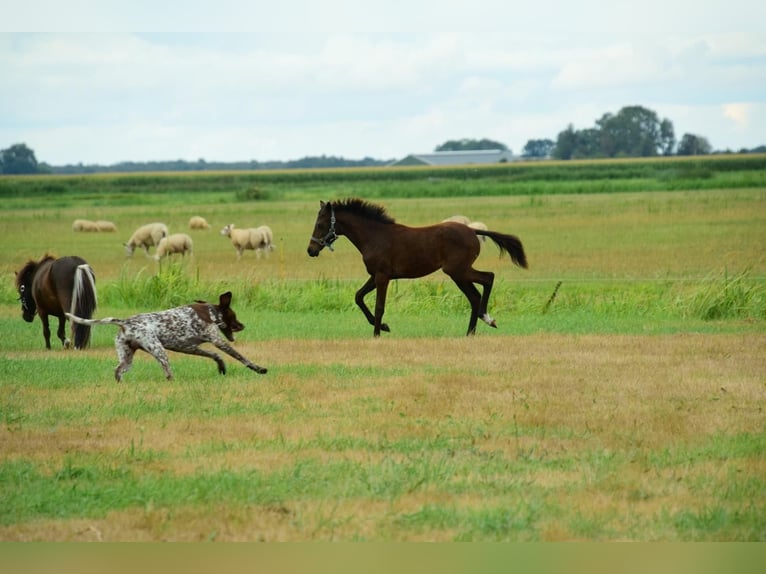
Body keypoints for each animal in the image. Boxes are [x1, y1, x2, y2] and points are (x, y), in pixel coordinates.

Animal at [307, 198, 528, 336]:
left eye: (320, 224)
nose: (311, 250)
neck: (375, 236)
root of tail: (473, 231)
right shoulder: (376, 275)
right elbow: (358, 296)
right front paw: (384, 327)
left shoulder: (382, 276)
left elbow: (379, 306)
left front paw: (377, 333)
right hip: (459, 273)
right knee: (474, 295)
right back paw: (470, 332)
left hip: (458, 271)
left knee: (488, 278)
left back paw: (487, 319)